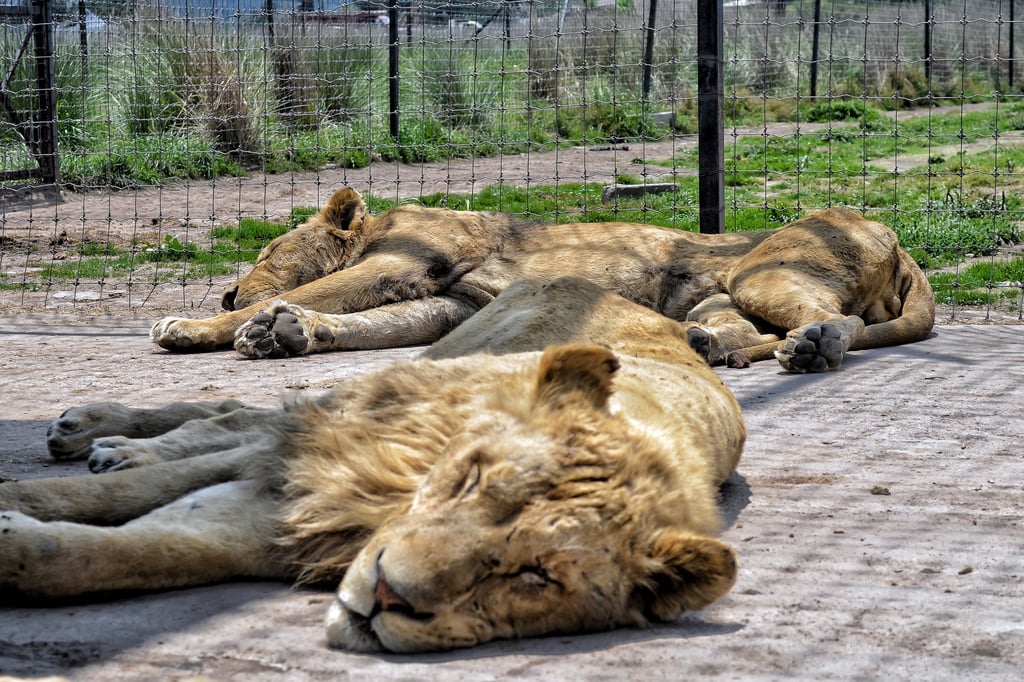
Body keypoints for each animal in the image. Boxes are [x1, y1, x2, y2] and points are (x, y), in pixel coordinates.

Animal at [1, 277, 744, 653]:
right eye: (474, 481)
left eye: (534, 577)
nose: (387, 597)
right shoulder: (327, 448)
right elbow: (142, 486)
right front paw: (32, 496)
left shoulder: (284, 521)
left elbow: (114, 556)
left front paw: (24, 546)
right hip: (430, 359)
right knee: (231, 417)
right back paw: (96, 434)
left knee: (233, 416)